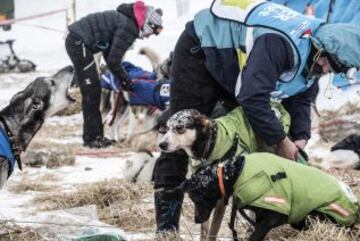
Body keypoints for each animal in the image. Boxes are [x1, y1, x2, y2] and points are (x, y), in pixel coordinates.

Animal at [158, 104, 290, 241]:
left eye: (179, 127)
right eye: (167, 128)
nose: (161, 144)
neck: (209, 147)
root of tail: (274, 106)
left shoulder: (220, 200)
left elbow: (213, 230)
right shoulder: (201, 199)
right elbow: (204, 229)